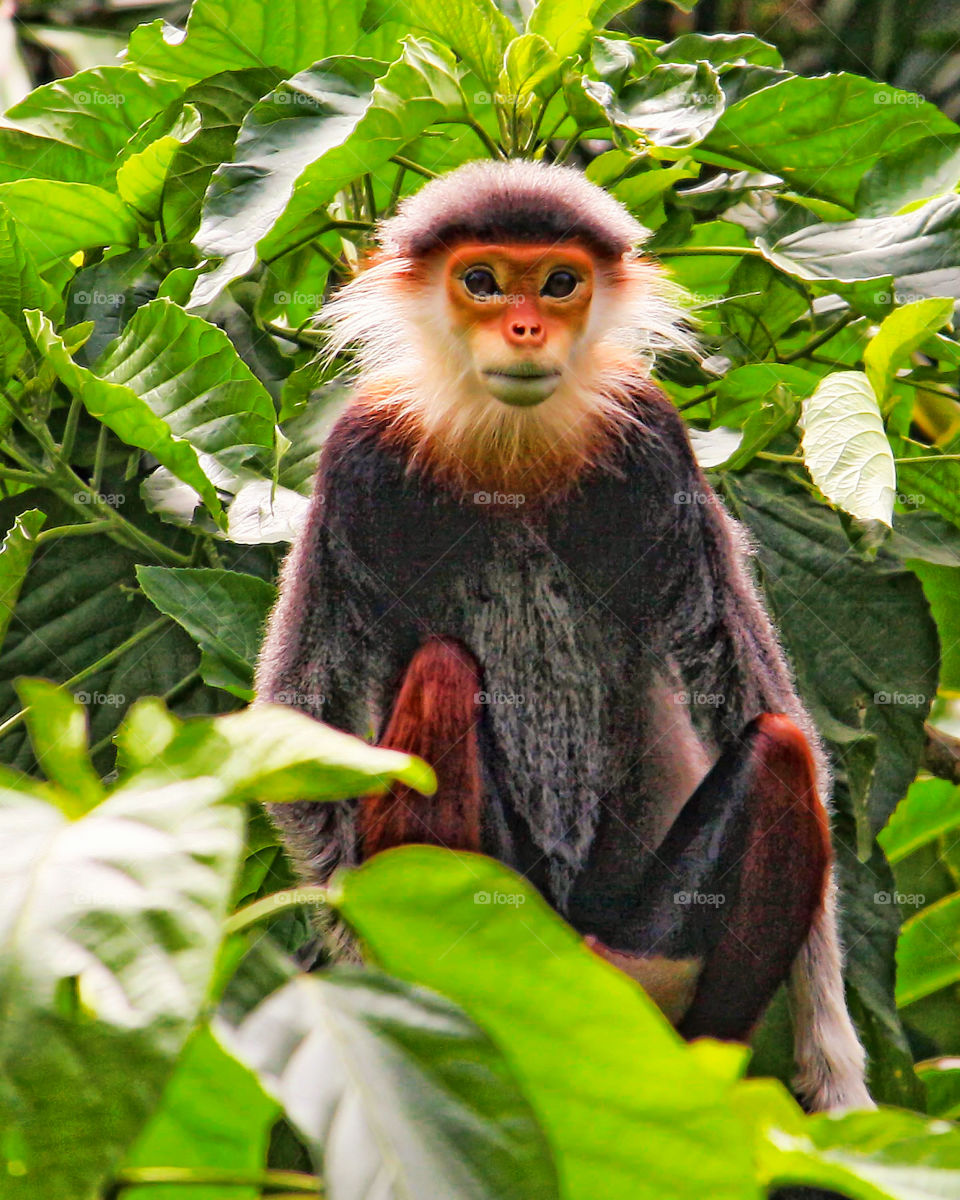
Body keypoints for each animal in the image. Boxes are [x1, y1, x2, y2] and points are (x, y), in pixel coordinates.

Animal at [256, 158, 872, 1120]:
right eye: (481, 281)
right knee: (443, 670)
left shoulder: (655, 441)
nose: (524, 327)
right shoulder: (358, 454)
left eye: (557, 283)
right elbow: (300, 721)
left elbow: (757, 697)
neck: (511, 449)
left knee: (776, 748)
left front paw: (832, 1057)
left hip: (637, 956)